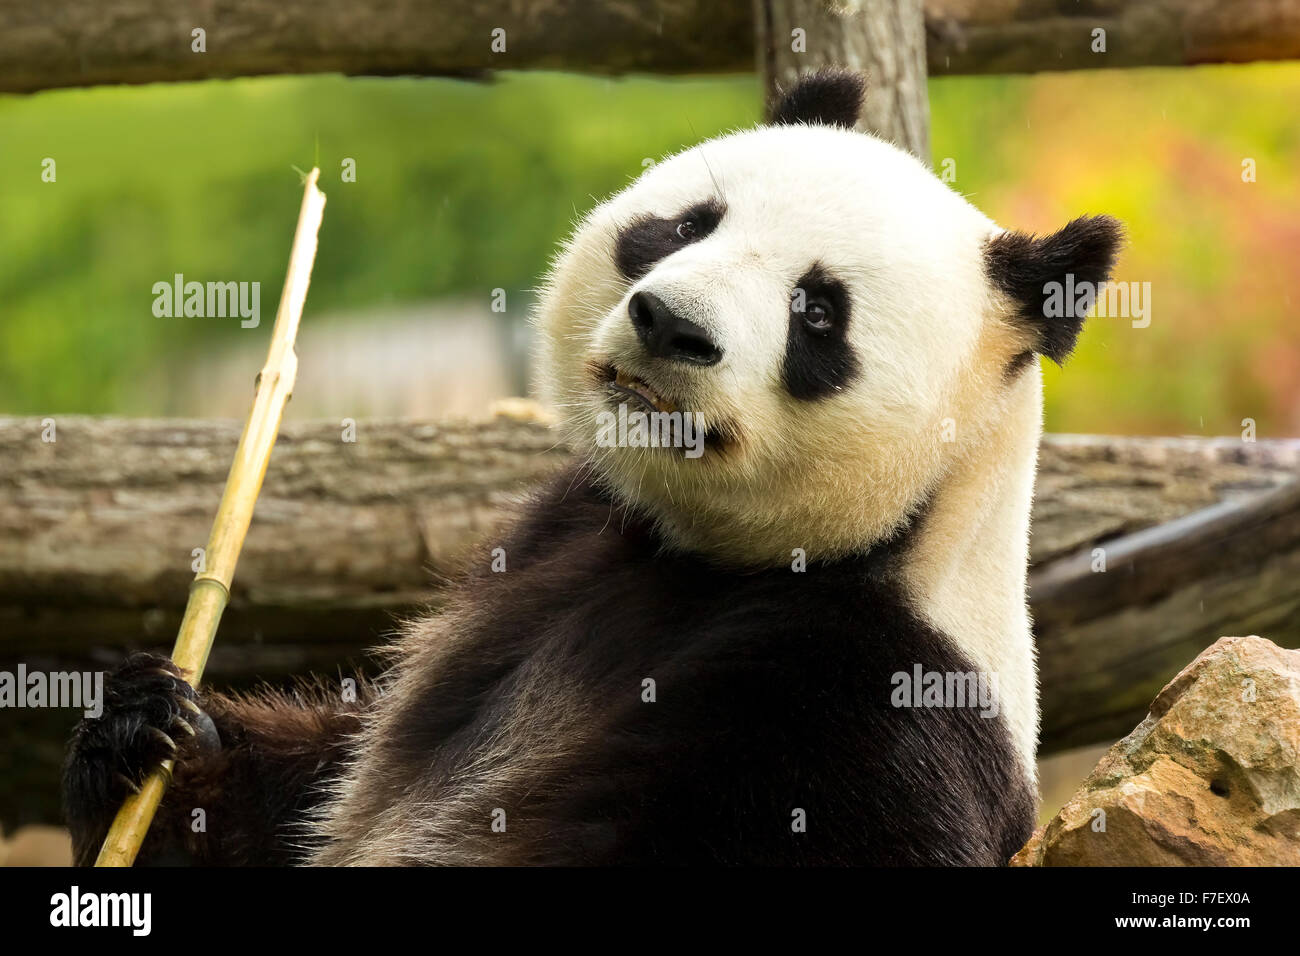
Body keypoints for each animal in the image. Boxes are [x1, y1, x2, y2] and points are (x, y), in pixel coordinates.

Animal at [63, 69, 1121, 866]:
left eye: (818, 312)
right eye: (689, 225)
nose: (671, 324)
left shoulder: (873, 710)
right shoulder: (554, 545)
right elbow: (314, 786)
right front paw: (149, 733)